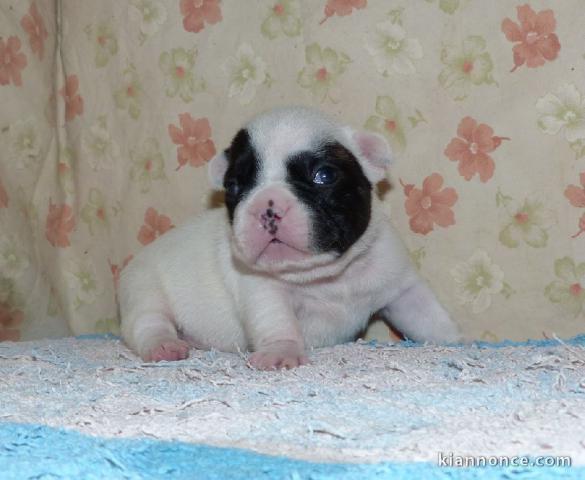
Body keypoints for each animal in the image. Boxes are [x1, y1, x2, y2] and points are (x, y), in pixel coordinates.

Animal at [120, 107, 460, 370]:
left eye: (323, 176)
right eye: (233, 185)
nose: (266, 207)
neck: (329, 276)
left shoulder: (400, 285)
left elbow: (427, 315)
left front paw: (455, 339)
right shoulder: (263, 290)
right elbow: (277, 321)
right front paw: (281, 352)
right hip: (144, 288)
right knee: (148, 322)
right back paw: (164, 345)